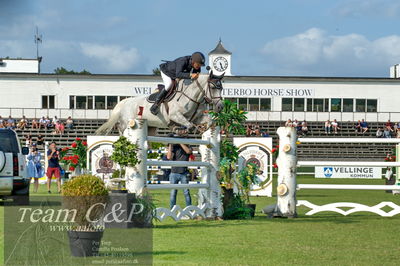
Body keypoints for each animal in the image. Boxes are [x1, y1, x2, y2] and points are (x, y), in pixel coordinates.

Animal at [95, 70, 223, 135]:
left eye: (221, 88)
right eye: (213, 87)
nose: (220, 107)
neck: (191, 96)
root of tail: (124, 102)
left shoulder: (196, 117)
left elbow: (209, 121)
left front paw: (204, 129)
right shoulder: (175, 115)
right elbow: (190, 126)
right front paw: (179, 130)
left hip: (150, 127)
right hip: (127, 123)